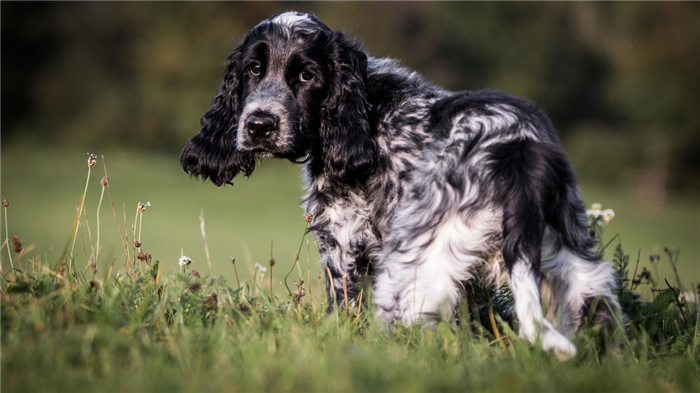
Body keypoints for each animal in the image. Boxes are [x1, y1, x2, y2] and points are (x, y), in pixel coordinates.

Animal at [180, 11, 616, 358]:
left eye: (306, 76)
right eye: (253, 69)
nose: (259, 125)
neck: (364, 109)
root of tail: (516, 147)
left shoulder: (343, 249)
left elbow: (343, 316)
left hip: (411, 268)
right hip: (574, 263)